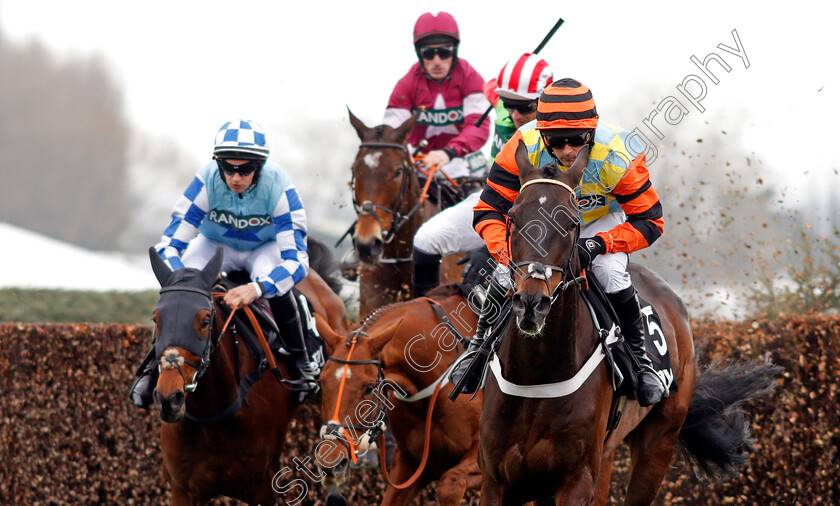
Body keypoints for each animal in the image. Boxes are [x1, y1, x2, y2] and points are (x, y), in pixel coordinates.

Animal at [148, 243, 348, 504]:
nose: (168, 399)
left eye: (205, 320)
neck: (215, 417)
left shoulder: (263, 485)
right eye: (156, 319)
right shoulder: (182, 489)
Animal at [480, 141, 780, 502]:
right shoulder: (496, 479)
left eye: (571, 222)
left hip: (659, 441)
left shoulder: (576, 478)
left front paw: (589, 248)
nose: (531, 304)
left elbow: (649, 218)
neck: (535, 378)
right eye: (513, 217)